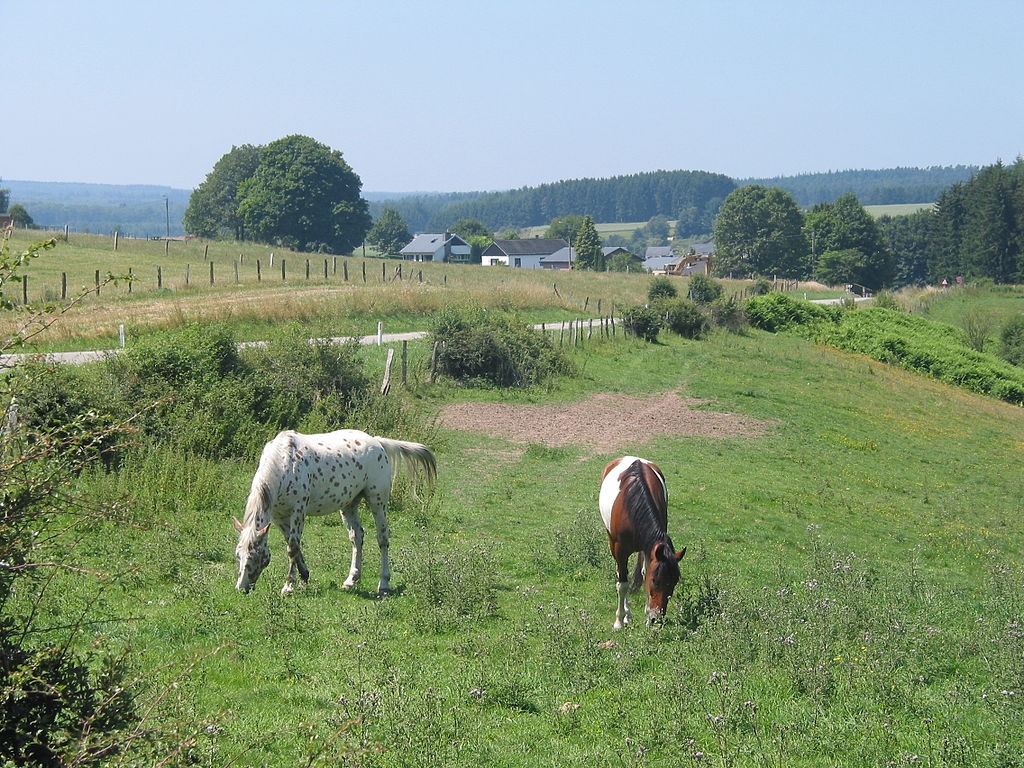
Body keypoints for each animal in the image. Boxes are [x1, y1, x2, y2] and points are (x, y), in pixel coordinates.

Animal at [232, 430, 436, 598]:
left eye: (255, 556)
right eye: (238, 555)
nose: (241, 588)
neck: (285, 462)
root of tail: (377, 442)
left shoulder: (298, 511)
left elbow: (292, 548)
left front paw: (289, 586)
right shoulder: (278, 517)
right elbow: (295, 547)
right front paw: (304, 577)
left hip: (377, 501)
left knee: (383, 538)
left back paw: (384, 584)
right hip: (349, 505)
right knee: (357, 537)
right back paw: (351, 580)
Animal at [598, 456, 688, 630]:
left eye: (674, 582)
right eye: (655, 581)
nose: (657, 618)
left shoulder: (650, 550)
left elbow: (644, 572)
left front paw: (647, 617)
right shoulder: (620, 550)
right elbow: (623, 584)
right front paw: (619, 621)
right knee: (622, 575)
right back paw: (626, 614)